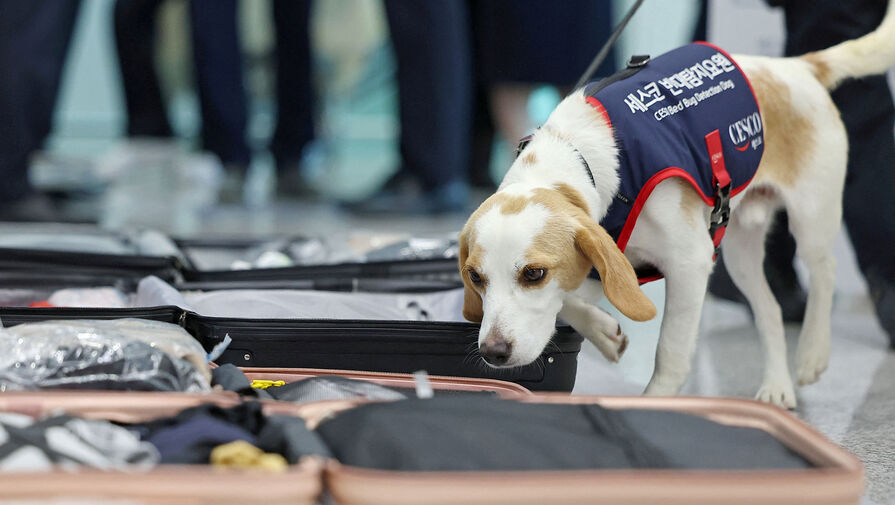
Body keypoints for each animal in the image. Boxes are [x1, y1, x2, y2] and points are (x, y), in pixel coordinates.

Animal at [462, 1, 895, 408]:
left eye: (533, 274)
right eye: (476, 278)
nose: (493, 352)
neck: (577, 155)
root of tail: (795, 67)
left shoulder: (689, 263)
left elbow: (670, 351)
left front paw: (657, 400)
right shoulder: (603, 263)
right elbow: (568, 301)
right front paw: (603, 331)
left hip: (811, 218)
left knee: (825, 272)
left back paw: (812, 354)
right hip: (738, 251)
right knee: (770, 311)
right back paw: (777, 387)